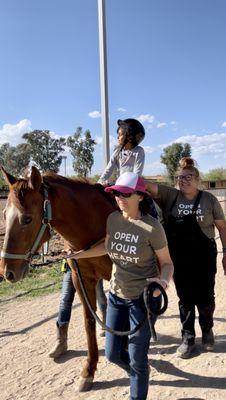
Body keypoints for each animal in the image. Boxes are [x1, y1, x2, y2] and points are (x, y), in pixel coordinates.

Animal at [0, 165, 116, 390]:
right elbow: (89, 320)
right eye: (4, 214)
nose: (7, 272)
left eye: (27, 218)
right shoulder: (81, 279)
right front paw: (88, 370)